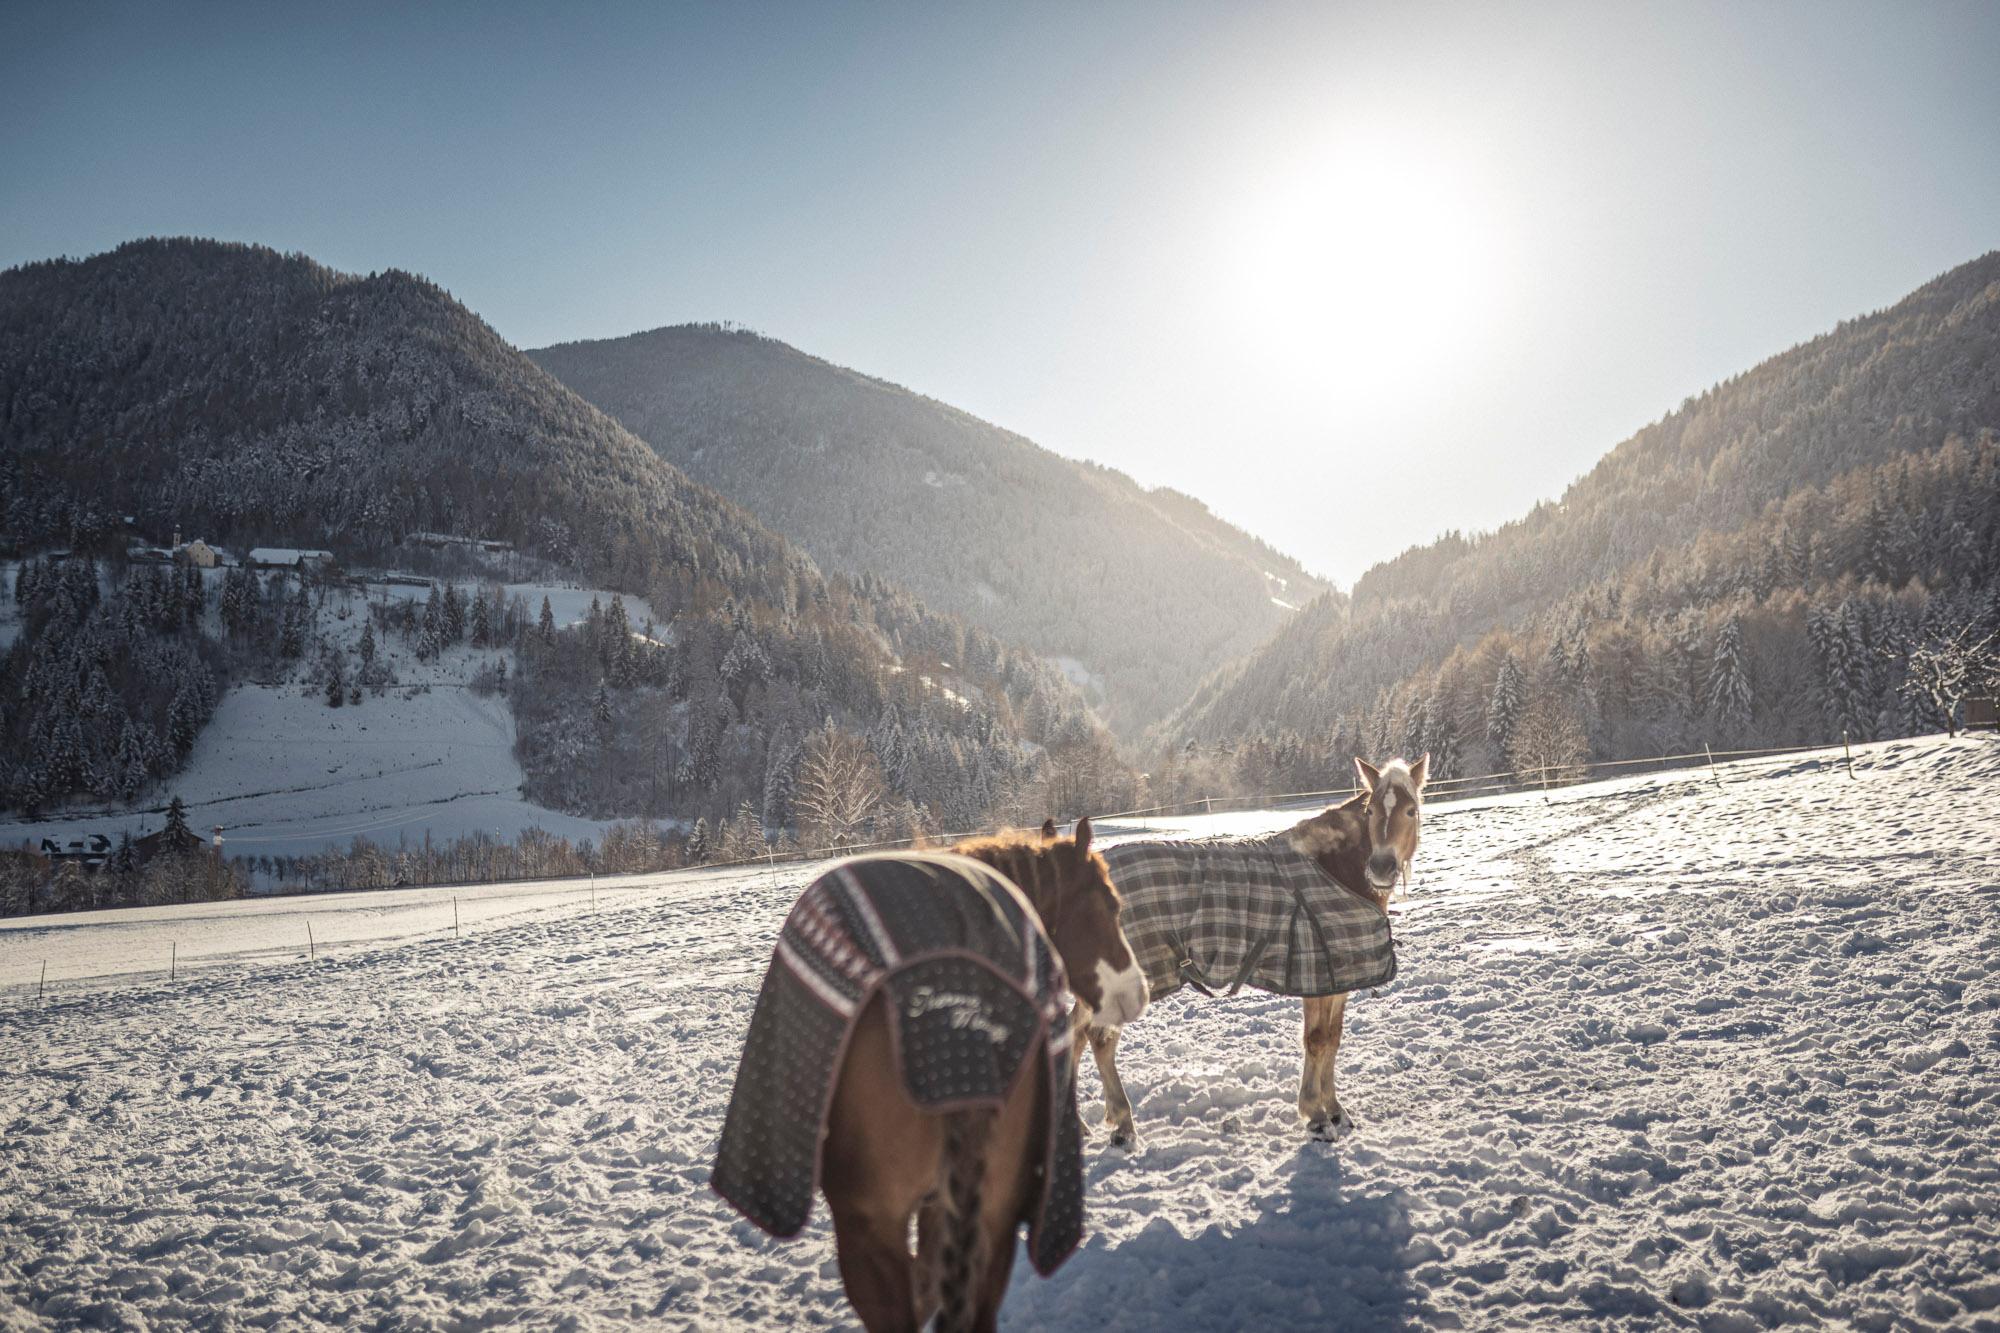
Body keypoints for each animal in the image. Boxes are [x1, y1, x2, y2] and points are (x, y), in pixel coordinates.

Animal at [1080, 755, 1426, 1144]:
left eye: (1411, 810)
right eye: (1370, 811)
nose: (1381, 867)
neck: (1335, 871)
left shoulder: (1338, 979)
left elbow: (1333, 1039)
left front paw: (1336, 1111)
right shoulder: (1316, 977)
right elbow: (1316, 1040)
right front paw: (1317, 1116)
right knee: (1099, 1039)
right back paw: (1123, 1124)